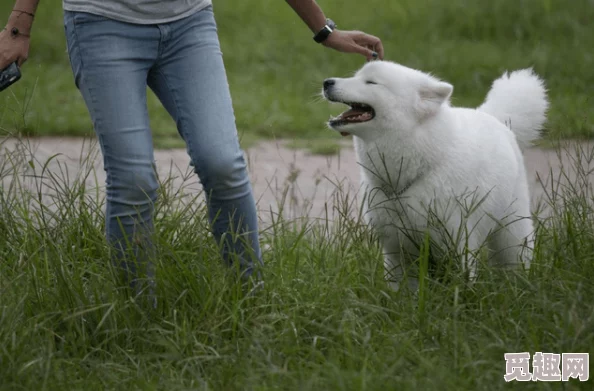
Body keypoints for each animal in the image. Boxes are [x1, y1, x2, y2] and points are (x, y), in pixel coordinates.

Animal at [322, 61, 548, 292]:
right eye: (356, 76)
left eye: (371, 82)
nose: (327, 82)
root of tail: (493, 117)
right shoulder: (397, 250)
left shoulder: (457, 243)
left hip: (511, 230)